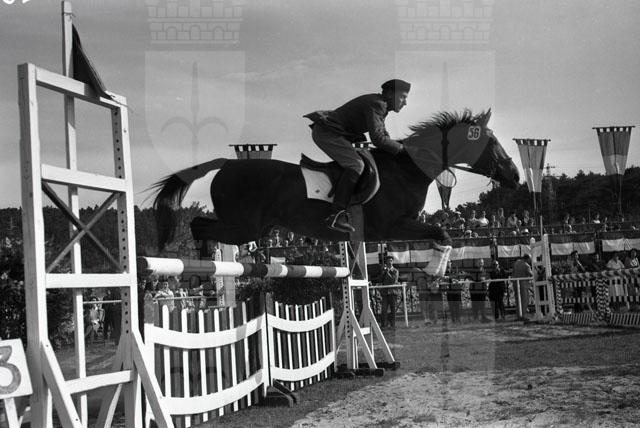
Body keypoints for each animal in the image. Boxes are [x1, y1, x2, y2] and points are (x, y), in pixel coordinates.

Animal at [152, 109, 519, 249]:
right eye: (492, 143)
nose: (516, 176)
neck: (406, 169)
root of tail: (227, 162)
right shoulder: (393, 227)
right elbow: (441, 232)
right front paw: (435, 269)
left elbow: (440, 234)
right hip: (243, 227)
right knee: (199, 226)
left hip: (252, 228)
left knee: (201, 227)